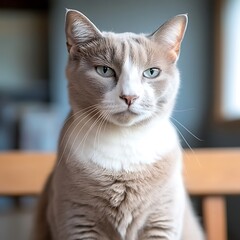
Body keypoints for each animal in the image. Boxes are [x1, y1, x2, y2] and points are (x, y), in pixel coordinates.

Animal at [33, 8, 204, 240]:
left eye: (151, 72)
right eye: (104, 71)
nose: (129, 96)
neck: (125, 144)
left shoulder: (162, 222)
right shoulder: (77, 221)